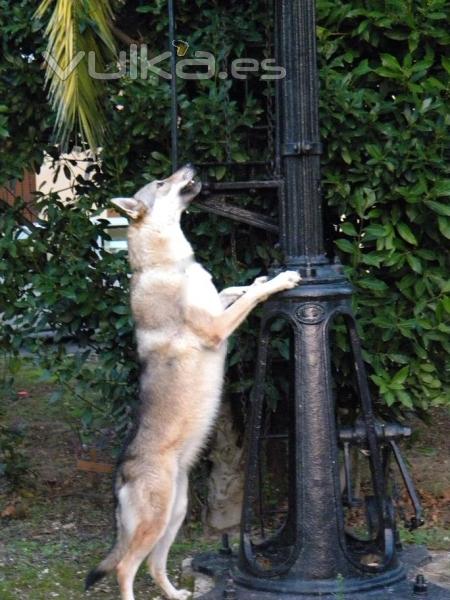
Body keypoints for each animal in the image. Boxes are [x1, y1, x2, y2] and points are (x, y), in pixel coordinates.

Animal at [85, 164, 302, 600]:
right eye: (162, 183)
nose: (191, 167)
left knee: (154, 565)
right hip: (156, 520)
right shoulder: (216, 328)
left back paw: (175, 594)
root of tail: (120, 474)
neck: (170, 263)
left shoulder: (216, 305)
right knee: (126, 568)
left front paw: (259, 278)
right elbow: (247, 298)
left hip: (176, 514)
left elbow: (236, 289)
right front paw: (280, 279)